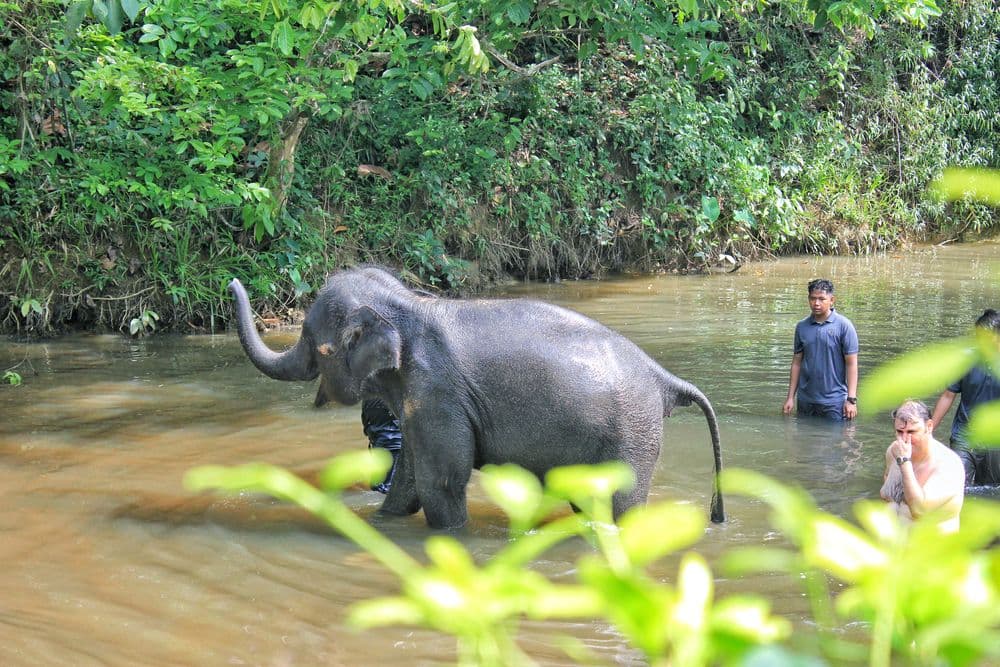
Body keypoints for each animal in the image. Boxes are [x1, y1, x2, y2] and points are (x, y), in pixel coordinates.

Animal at [229, 266, 724, 529]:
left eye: (317, 344)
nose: (231, 282)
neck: (407, 304)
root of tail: (663, 378)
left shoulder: (437, 393)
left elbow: (441, 482)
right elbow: (411, 478)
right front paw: (380, 525)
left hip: (631, 437)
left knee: (618, 505)